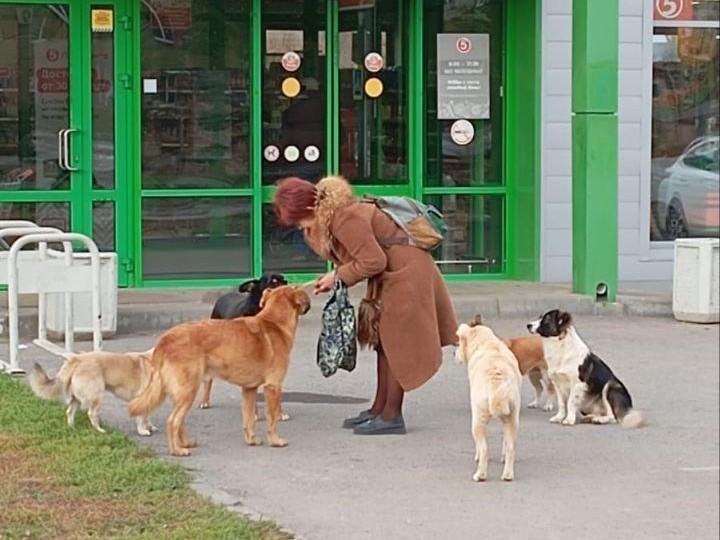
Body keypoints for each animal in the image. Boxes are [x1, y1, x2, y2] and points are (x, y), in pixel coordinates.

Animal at [458, 316, 520, 480]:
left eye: (459, 342)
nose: (454, 353)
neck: (487, 342)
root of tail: (496, 384)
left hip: (477, 421)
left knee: (484, 448)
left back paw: (480, 475)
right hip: (512, 418)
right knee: (510, 447)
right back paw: (507, 475)